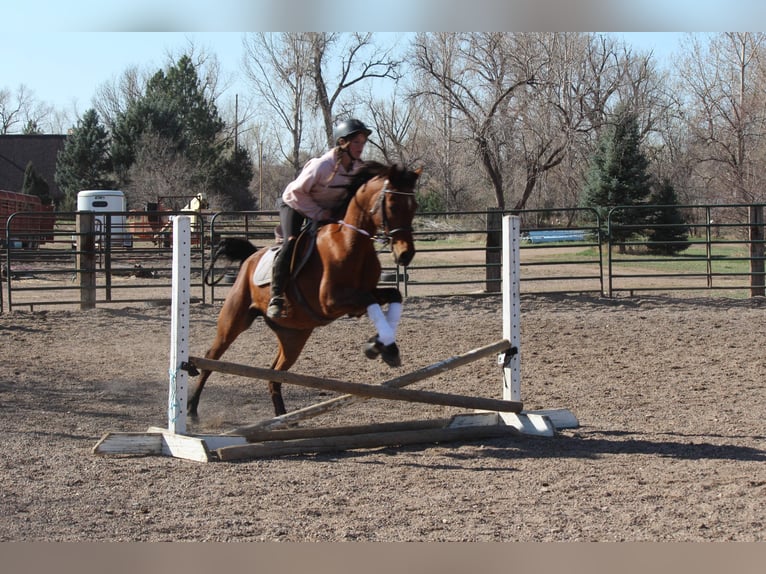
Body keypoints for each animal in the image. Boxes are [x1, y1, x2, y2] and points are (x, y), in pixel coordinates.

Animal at [188, 162, 421, 418]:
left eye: (414, 206)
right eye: (392, 204)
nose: (406, 254)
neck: (351, 243)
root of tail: (251, 257)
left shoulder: (362, 297)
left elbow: (394, 295)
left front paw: (385, 347)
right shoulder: (332, 302)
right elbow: (370, 300)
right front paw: (377, 346)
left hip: (294, 336)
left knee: (274, 374)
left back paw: (283, 417)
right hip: (233, 320)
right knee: (210, 358)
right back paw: (191, 408)